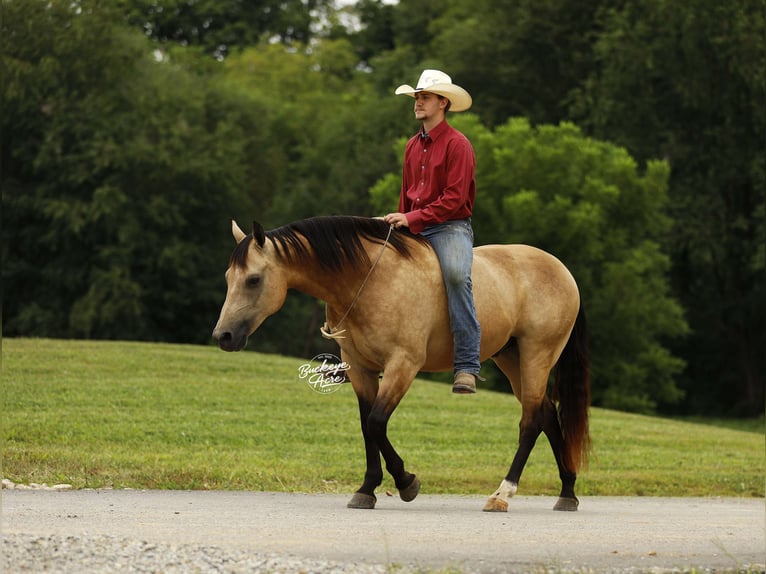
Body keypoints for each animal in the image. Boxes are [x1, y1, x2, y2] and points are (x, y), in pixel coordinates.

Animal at [212, 215, 590, 512]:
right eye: (229, 278)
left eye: (254, 279)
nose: (223, 336)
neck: (369, 279)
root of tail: (563, 270)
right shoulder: (361, 369)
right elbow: (367, 427)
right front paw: (366, 489)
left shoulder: (402, 365)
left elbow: (377, 422)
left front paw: (407, 482)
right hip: (512, 359)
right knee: (547, 415)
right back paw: (567, 493)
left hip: (536, 356)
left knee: (530, 421)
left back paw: (502, 493)